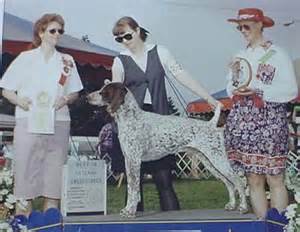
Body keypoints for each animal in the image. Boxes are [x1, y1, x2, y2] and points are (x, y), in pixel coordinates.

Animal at [87, 82, 248, 218]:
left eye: (104, 91)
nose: (87, 97)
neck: (131, 118)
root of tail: (211, 124)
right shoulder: (128, 160)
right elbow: (131, 187)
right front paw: (128, 209)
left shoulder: (134, 160)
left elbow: (134, 189)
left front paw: (130, 211)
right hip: (209, 162)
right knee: (229, 183)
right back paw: (231, 205)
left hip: (218, 159)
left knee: (238, 181)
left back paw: (243, 207)